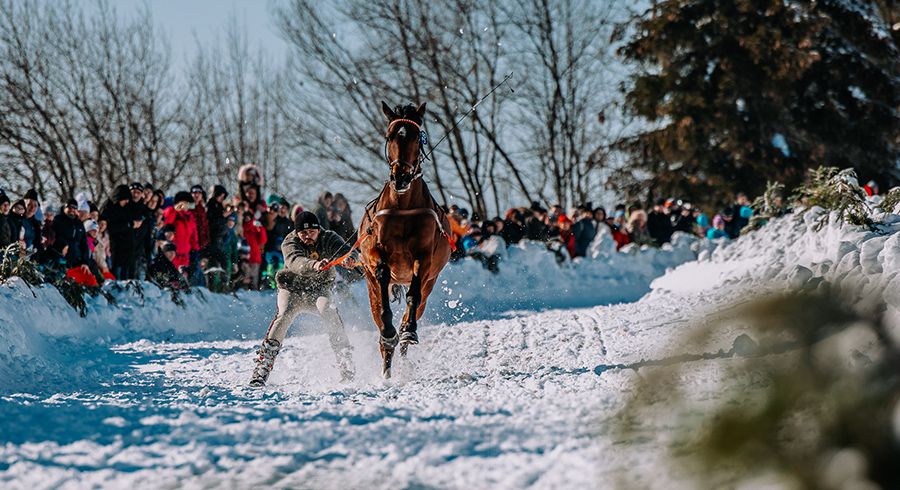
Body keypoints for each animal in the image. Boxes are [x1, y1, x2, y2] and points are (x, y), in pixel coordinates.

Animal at [358, 100, 454, 378]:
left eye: (416, 136)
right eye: (389, 136)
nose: (400, 176)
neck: (402, 207)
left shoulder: (423, 257)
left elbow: (414, 295)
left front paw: (408, 330)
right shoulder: (375, 252)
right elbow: (381, 275)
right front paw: (388, 332)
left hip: (431, 282)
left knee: (417, 302)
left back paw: (402, 337)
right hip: (369, 285)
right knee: (379, 314)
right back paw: (387, 351)